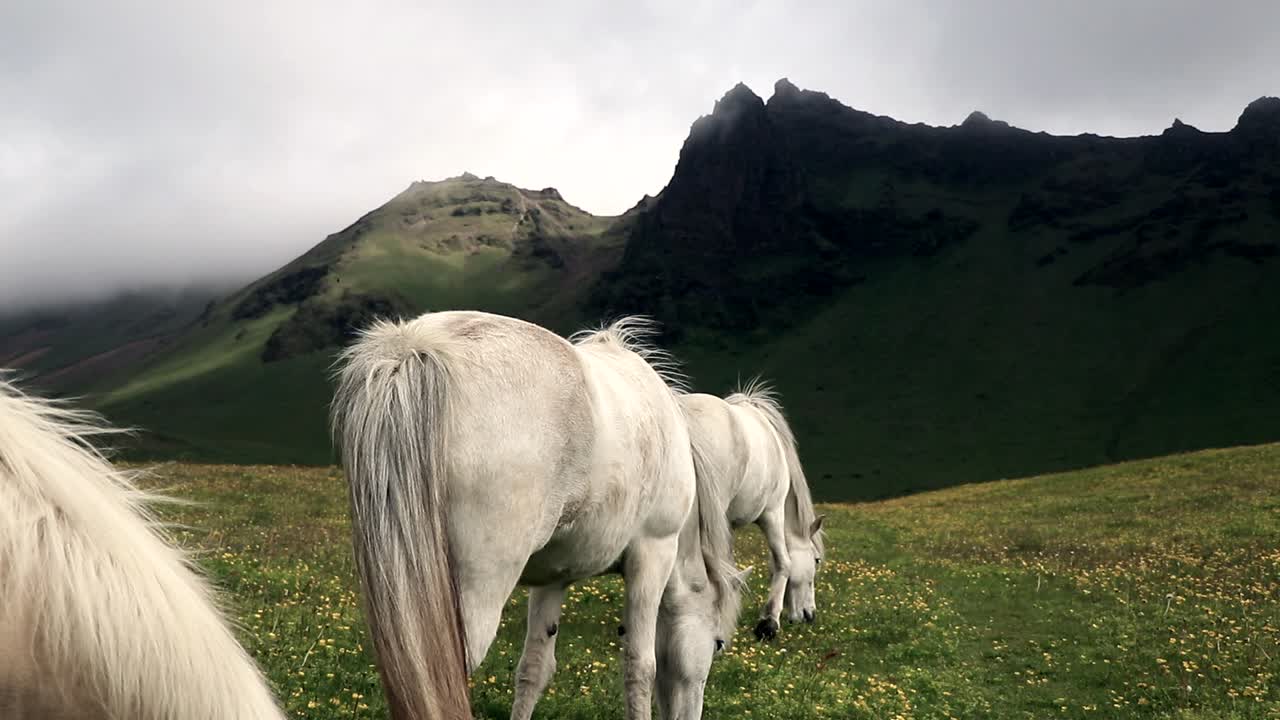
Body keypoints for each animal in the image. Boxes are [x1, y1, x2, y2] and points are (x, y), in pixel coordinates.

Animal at [331, 310, 741, 720]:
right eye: (718, 644)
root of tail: (420, 346)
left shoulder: (552, 578)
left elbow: (534, 668)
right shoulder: (652, 556)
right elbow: (641, 667)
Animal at [679, 379, 825, 641]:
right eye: (816, 560)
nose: (809, 615)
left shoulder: (727, 525)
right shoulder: (773, 514)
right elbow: (783, 563)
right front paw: (768, 623)